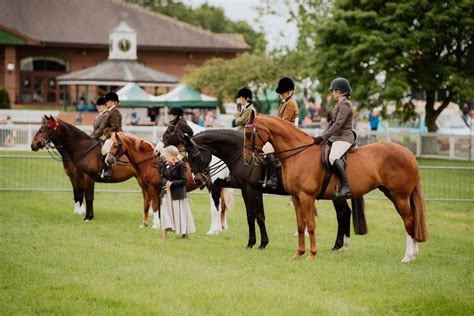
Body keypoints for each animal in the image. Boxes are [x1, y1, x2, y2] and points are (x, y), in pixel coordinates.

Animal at [183, 130, 368, 251]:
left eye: (193, 156)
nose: (198, 179)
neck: (240, 154)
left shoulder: (250, 190)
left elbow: (254, 216)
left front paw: (255, 243)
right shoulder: (250, 190)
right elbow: (256, 216)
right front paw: (260, 242)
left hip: (335, 195)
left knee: (342, 214)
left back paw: (338, 245)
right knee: (345, 213)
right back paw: (342, 245)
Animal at [243, 113, 428, 262]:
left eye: (248, 134)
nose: (247, 160)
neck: (299, 154)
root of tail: (409, 153)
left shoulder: (306, 197)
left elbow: (311, 225)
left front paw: (312, 254)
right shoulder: (296, 198)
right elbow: (301, 225)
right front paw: (298, 253)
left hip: (400, 196)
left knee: (409, 220)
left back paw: (407, 257)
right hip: (392, 194)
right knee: (411, 220)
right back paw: (413, 254)